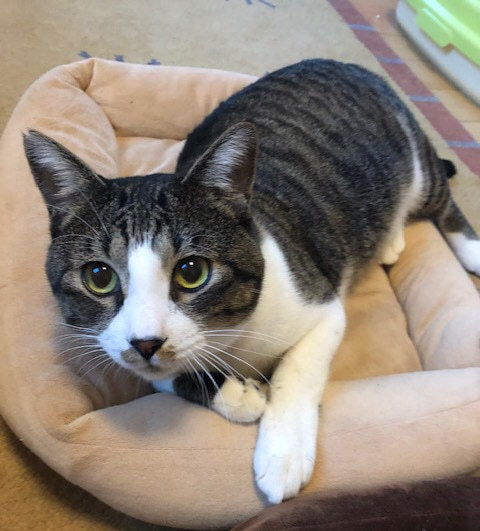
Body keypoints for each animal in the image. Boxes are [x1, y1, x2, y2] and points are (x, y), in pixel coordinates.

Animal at [24, 59, 480, 504]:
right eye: (99, 277)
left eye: (192, 272)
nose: (147, 343)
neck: (231, 338)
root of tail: (353, 65)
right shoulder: (121, 351)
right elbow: (164, 377)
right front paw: (235, 395)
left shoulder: (321, 307)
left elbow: (296, 372)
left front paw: (283, 454)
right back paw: (391, 240)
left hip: (415, 164)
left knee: (442, 201)